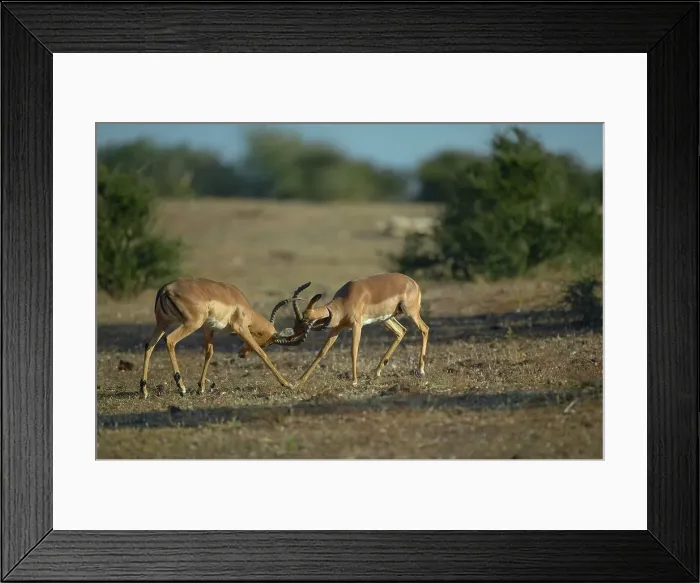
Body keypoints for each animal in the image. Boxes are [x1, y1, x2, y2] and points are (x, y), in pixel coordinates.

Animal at [139, 276, 311, 398]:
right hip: (190, 324)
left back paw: (144, 390)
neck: (240, 303)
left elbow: (209, 353)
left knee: (149, 345)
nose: (242, 354)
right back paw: (181, 387)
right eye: (267, 344)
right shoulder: (240, 328)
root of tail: (166, 289)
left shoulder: (208, 329)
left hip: (163, 323)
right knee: (170, 340)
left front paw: (201, 388)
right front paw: (288, 384)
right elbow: (261, 354)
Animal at [284, 272, 430, 386]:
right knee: (401, 331)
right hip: (386, 319)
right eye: (296, 320)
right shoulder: (336, 328)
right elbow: (322, 351)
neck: (344, 302)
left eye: (305, 322)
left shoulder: (357, 325)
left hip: (411, 312)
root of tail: (413, 283)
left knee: (424, 329)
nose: (290, 337)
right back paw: (377, 371)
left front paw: (354, 381)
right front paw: (301, 379)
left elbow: (354, 351)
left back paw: (421, 371)